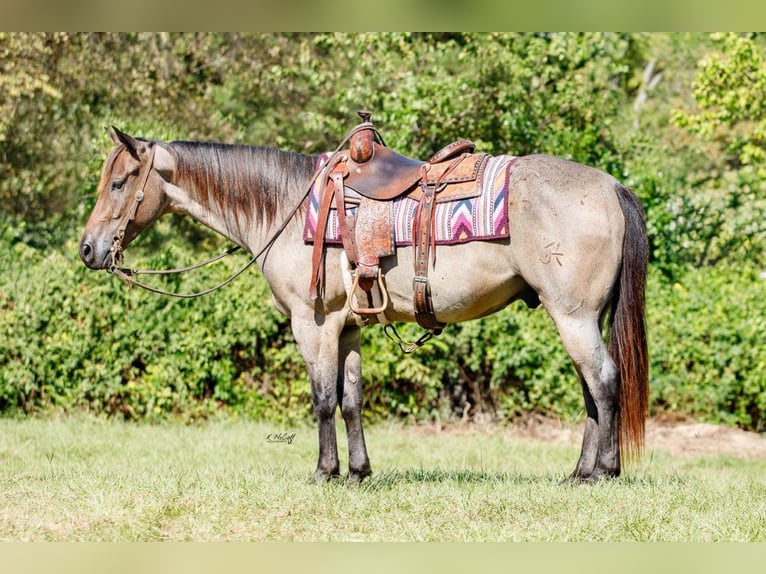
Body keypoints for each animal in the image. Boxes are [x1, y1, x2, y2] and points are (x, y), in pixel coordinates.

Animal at [79, 126, 648, 486]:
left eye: (119, 182)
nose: (88, 249)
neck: (287, 209)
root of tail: (612, 186)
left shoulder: (313, 326)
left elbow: (322, 399)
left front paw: (324, 472)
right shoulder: (348, 327)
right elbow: (351, 399)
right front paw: (358, 472)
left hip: (573, 316)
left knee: (604, 382)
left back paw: (604, 472)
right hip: (580, 318)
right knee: (591, 391)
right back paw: (579, 472)